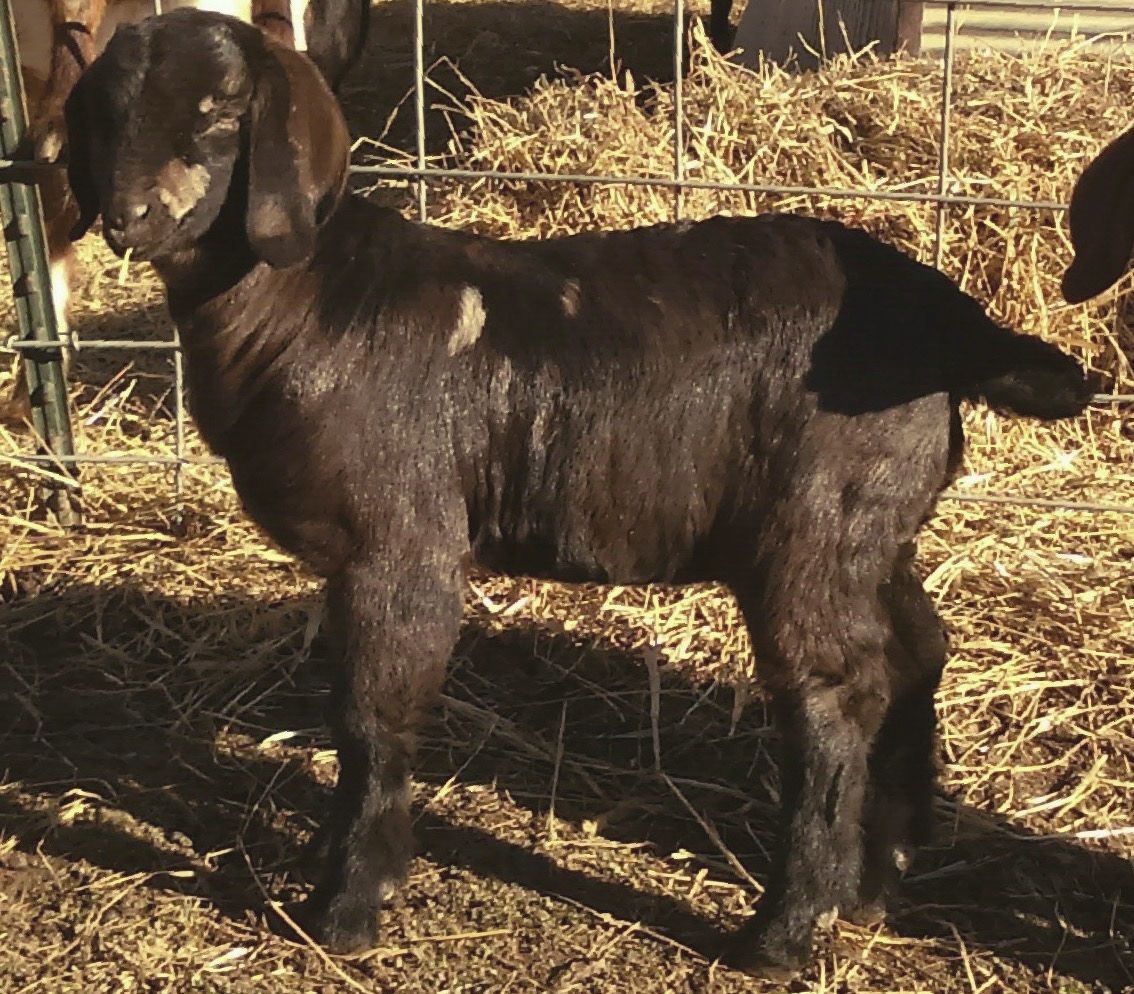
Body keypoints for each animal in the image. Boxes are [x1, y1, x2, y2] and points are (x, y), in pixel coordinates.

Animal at [64, 8, 1093, 977]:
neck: (310, 301)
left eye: (223, 111)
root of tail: (955, 323)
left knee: (836, 693)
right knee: (918, 651)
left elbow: (370, 715)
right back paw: (881, 878)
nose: (130, 216)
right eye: (107, 112)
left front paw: (350, 906)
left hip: (813, 524)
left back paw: (782, 930)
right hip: (873, 525)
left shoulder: (401, 542)